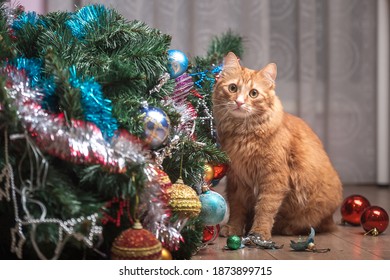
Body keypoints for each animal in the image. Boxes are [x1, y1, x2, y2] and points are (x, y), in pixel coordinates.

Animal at [212, 52, 342, 241]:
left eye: (253, 93)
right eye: (233, 88)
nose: (239, 102)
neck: (244, 134)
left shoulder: (274, 177)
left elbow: (265, 208)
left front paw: (259, 234)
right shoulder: (236, 179)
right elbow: (236, 210)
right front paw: (234, 229)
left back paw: (285, 228)